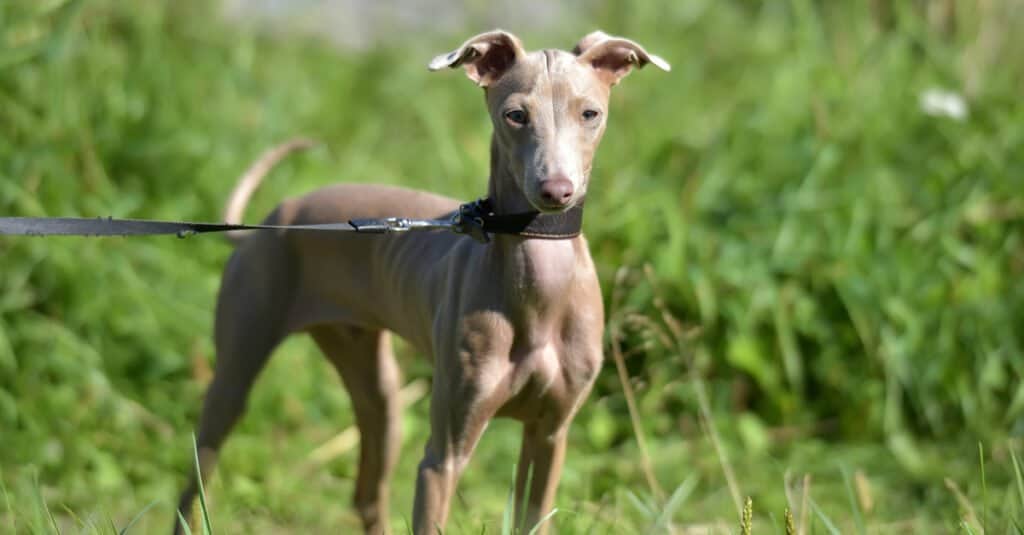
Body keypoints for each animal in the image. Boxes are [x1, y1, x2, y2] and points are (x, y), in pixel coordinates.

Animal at [176, 30, 667, 532]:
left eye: (590, 113)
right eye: (515, 114)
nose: (555, 191)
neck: (540, 290)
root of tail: (274, 218)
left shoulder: (550, 434)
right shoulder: (443, 454)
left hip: (377, 390)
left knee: (366, 491)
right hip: (235, 376)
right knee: (195, 480)